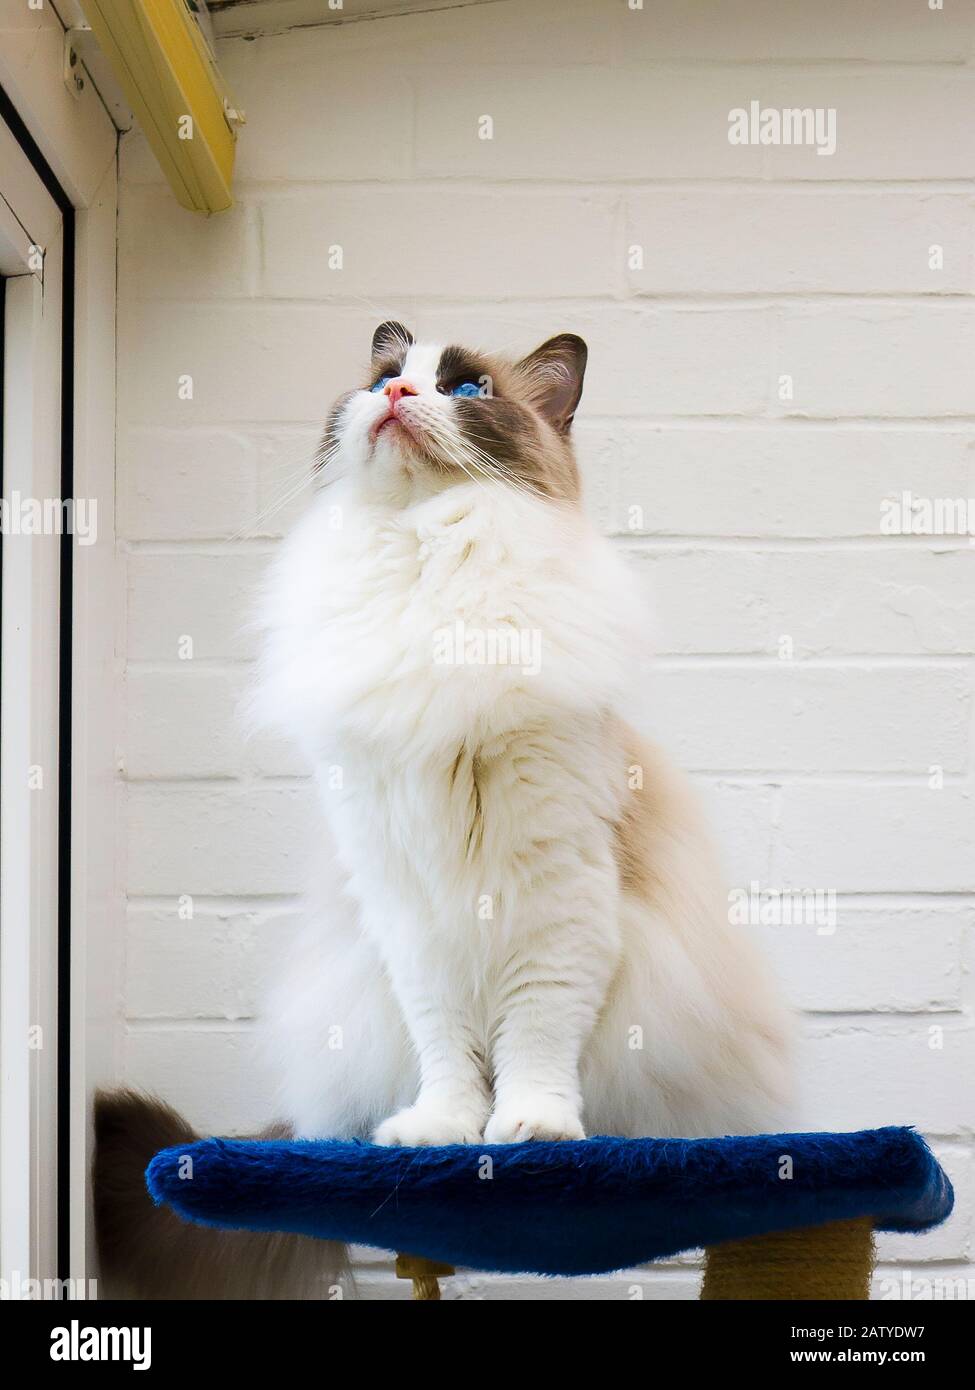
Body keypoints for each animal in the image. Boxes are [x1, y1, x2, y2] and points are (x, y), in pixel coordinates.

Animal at [91, 319, 790, 1295]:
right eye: (385, 378)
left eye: (463, 391)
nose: (394, 397)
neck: (431, 570)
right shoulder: (411, 912)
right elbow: (449, 1049)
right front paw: (444, 1135)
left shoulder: (557, 901)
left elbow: (534, 1037)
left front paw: (531, 1134)